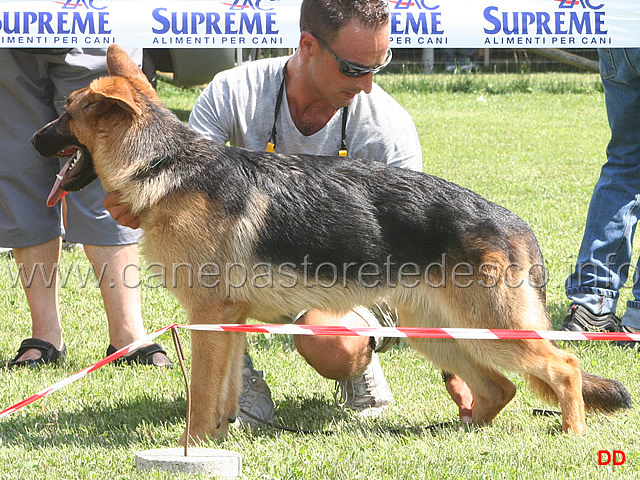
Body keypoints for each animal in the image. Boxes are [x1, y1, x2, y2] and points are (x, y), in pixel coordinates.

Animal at [32, 45, 628, 442]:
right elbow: (223, 391)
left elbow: (202, 396)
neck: (163, 164)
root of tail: (514, 223)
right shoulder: (229, 321)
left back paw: (572, 434)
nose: (34, 139)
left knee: (564, 365)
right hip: (440, 329)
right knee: (498, 388)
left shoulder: (209, 318)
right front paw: (221, 440)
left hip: (490, 327)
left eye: (65, 113)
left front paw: (194, 447)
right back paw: (454, 432)